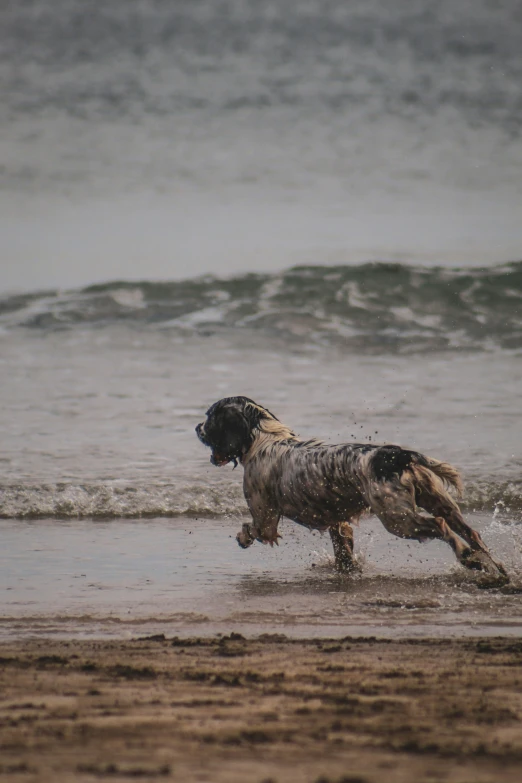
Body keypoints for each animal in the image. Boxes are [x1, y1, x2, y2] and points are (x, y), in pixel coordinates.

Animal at [195, 396, 508, 584]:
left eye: (210, 417)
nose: (196, 427)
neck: (264, 439)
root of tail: (395, 455)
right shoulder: (339, 521)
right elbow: (343, 550)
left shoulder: (265, 518)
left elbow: (251, 529)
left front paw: (242, 537)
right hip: (438, 500)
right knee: (472, 533)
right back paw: (494, 568)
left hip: (398, 519)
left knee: (442, 527)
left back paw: (468, 559)